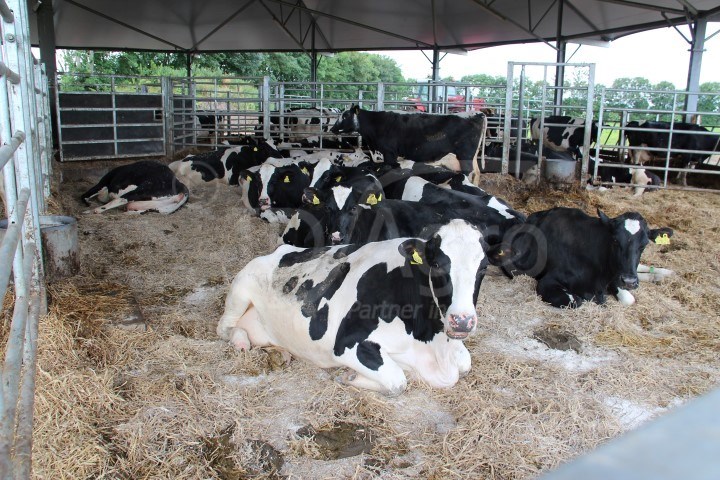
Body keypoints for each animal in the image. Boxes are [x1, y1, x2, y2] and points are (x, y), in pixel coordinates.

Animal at [217, 219, 492, 395]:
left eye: (483, 268)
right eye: (435, 265)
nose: (462, 321)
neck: (431, 341)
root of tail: (281, 250)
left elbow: (465, 363)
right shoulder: (348, 343)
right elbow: (397, 382)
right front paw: (349, 376)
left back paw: (280, 353)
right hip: (240, 290)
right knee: (224, 327)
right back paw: (241, 341)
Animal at [330, 105, 487, 182]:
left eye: (345, 115)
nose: (332, 128)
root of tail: (478, 113)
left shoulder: (389, 153)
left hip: (465, 156)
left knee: (468, 173)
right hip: (471, 157)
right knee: (477, 173)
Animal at [495, 207, 673, 308]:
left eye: (644, 244)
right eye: (615, 240)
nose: (629, 281)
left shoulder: (616, 275)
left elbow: (629, 299)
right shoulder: (548, 281)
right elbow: (577, 300)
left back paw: (664, 273)